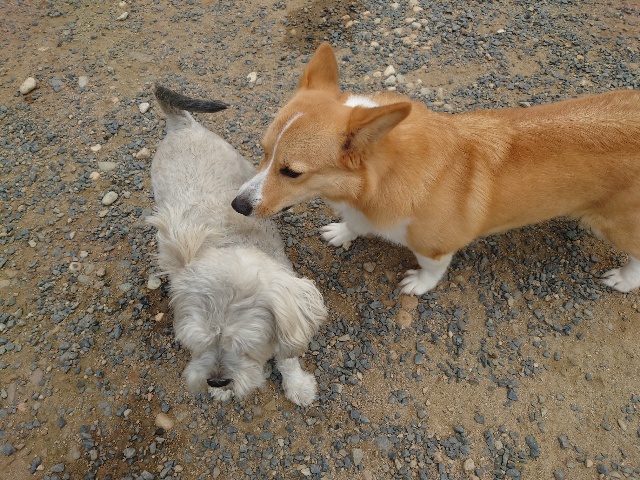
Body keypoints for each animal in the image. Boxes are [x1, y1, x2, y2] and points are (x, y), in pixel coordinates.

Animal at [147, 86, 327, 406]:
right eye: (197, 342)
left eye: (246, 346)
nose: (217, 381)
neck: (228, 243)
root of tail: (180, 125)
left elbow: (287, 356)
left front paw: (297, 385)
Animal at [231, 43, 640, 296]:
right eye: (263, 152)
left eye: (291, 172)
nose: (237, 206)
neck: (376, 183)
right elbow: (354, 225)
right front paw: (343, 231)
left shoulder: (436, 246)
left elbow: (431, 270)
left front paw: (418, 285)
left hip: (619, 226)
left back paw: (623, 279)